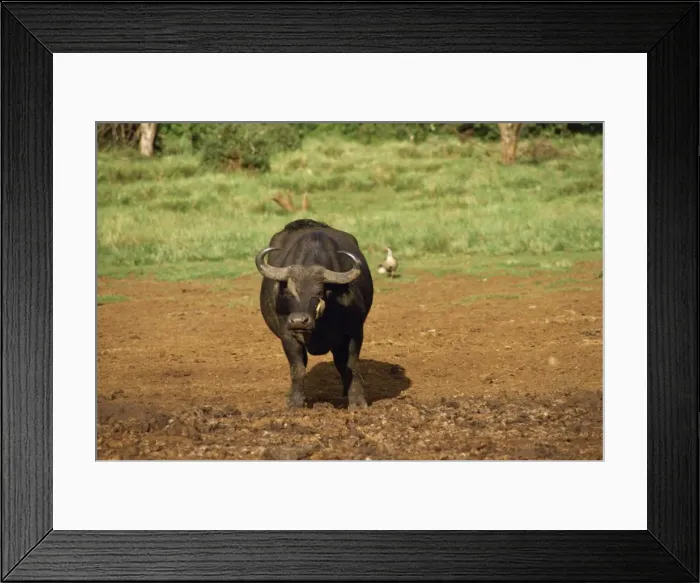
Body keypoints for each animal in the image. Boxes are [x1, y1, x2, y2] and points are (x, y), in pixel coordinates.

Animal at [255, 219, 374, 409]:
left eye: (318, 292)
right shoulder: (287, 335)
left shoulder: (354, 333)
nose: (298, 321)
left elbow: (351, 365)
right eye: (289, 292)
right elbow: (298, 368)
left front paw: (357, 401)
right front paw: (295, 402)